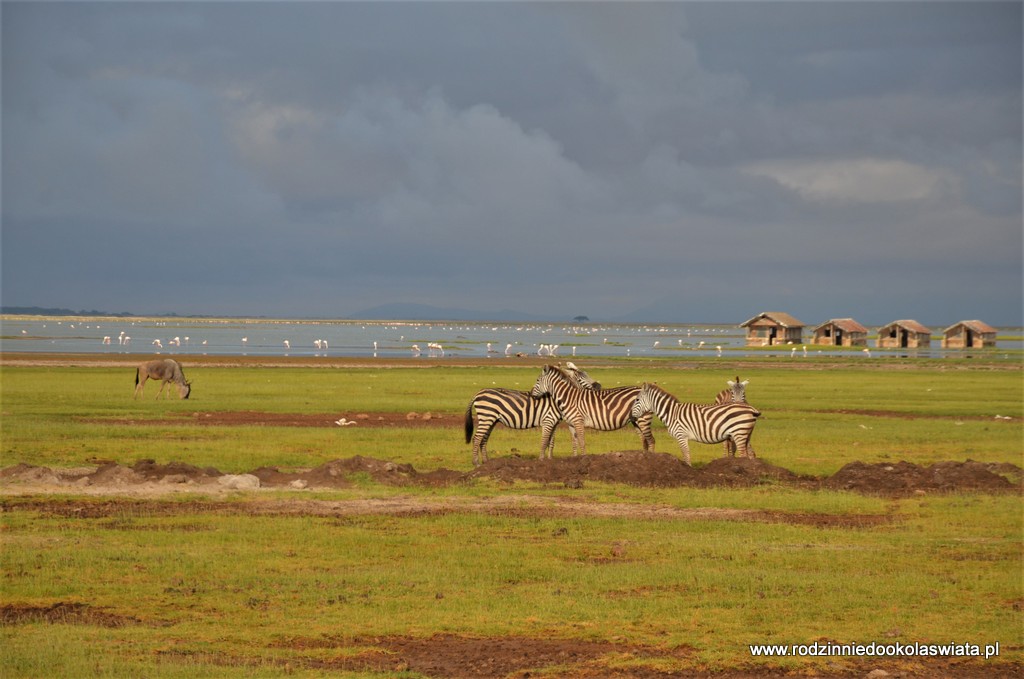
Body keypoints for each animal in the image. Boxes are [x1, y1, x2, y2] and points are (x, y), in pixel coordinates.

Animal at [466, 360, 598, 467]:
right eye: (581, 378)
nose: (598, 385)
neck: (556, 399)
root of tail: (478, 393)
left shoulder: (554, 423)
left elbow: (551, 441)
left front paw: (550, 459)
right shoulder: (548, 420)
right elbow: (545, 441)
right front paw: (542, 461)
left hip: (491, 419)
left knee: (484, 438)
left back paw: (486, 462)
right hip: (486, 417)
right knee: (477, 438)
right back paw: (476, 463)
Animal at [630, 383, 761, 467]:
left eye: (637, 400)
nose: (631, 416)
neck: (671, 412)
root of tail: (751, 409)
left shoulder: (681, 435)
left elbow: (686, 454)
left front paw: (688, 469)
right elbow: (686, 454)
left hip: (739, 432)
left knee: (743, 454)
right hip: (746, 433)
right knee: (750, 453)